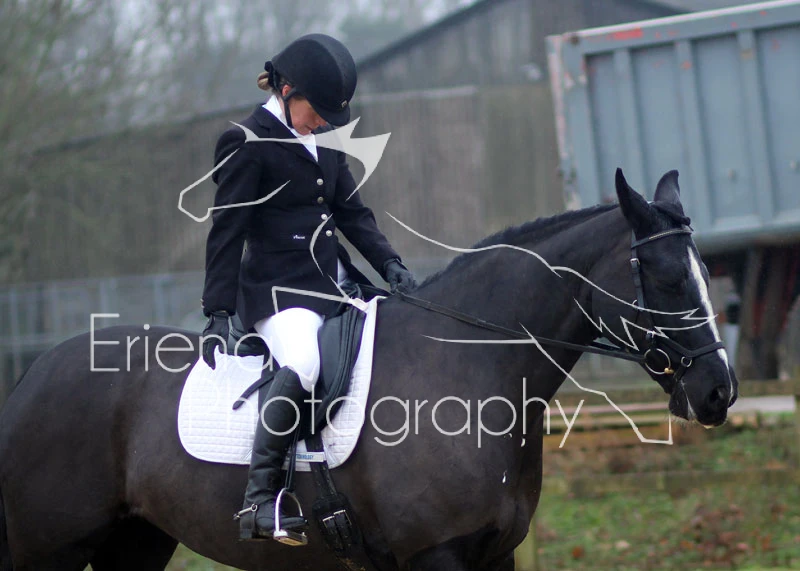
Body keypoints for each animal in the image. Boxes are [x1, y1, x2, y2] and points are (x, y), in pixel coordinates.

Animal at [0, 169, 738, 571]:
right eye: (667, 277)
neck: (468, 371)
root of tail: (34, 374)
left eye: (706, 271)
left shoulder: (492, 553)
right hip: (51, 548)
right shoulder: (436, 553)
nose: (719, 391)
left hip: (135, 539)